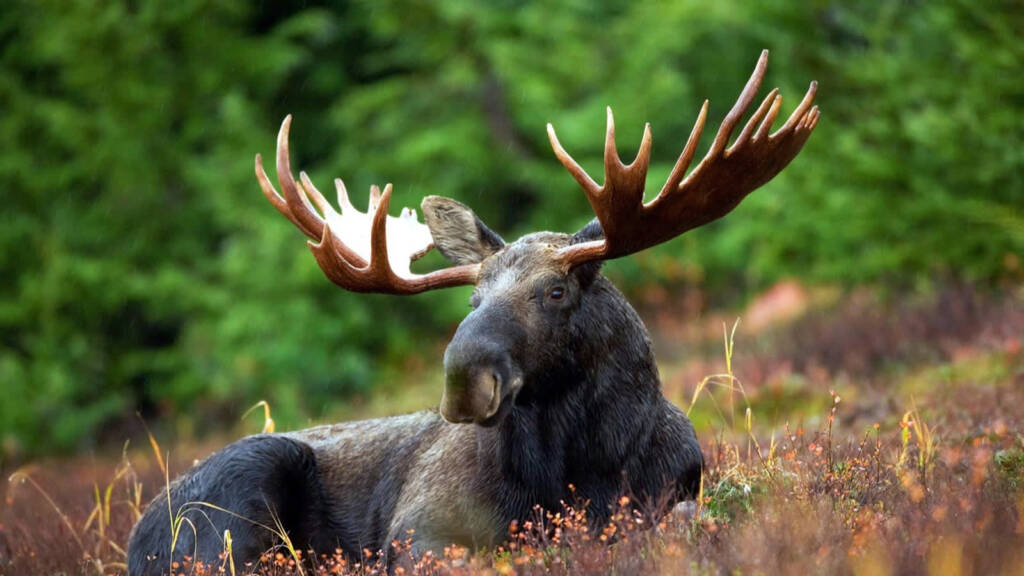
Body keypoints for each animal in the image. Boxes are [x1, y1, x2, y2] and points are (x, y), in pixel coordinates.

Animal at [128, 50, 818, 575]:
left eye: (556, 291)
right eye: (472, 298)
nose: (464, 379)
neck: (583, 468)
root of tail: (137, 537)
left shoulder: (675, 493)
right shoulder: (420, 528)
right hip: (238, 496)